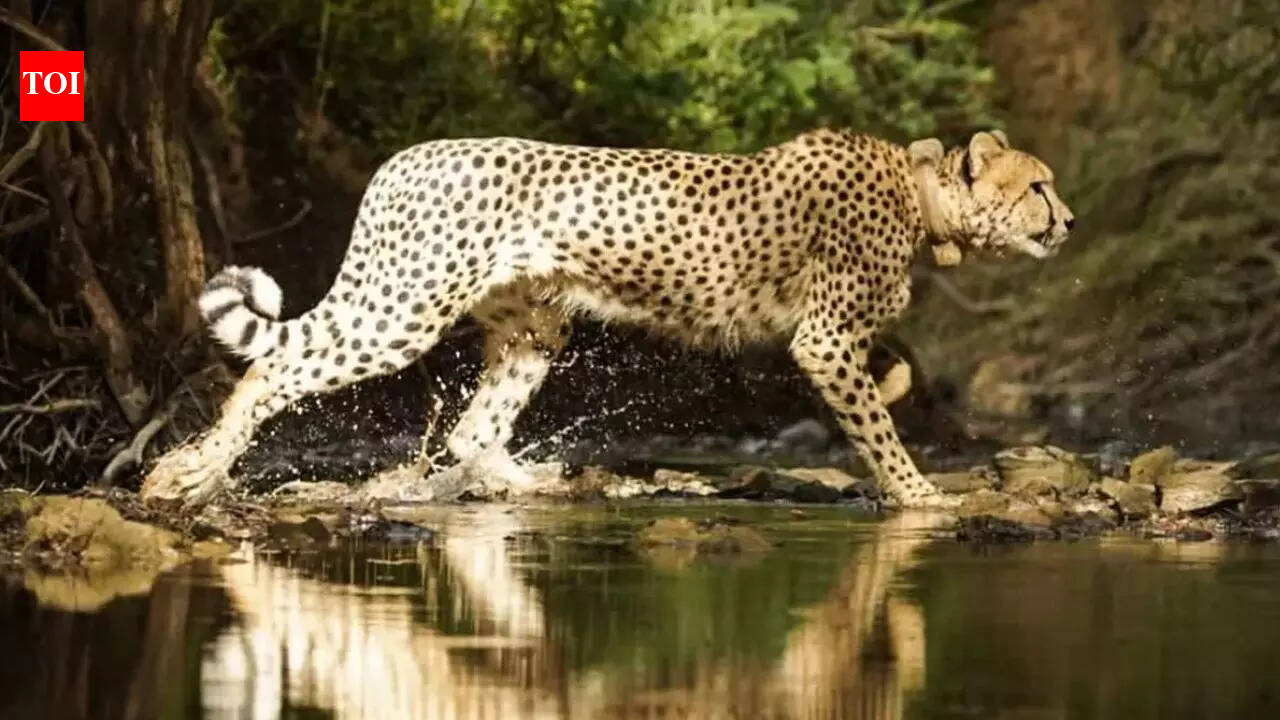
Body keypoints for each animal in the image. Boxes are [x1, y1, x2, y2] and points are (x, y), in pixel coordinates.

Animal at [141, 128, 1074, 507]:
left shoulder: (831, 338)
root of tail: (406, 156)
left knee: (474, 431)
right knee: (272, 368)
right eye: (1037, 185)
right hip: (405, 306)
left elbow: (893, 380)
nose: (1067, 221)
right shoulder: (822, 337)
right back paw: (189, 473)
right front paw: (920, 495)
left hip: (533, 325)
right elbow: (877, 428)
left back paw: (544, 484)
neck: (925, 202)